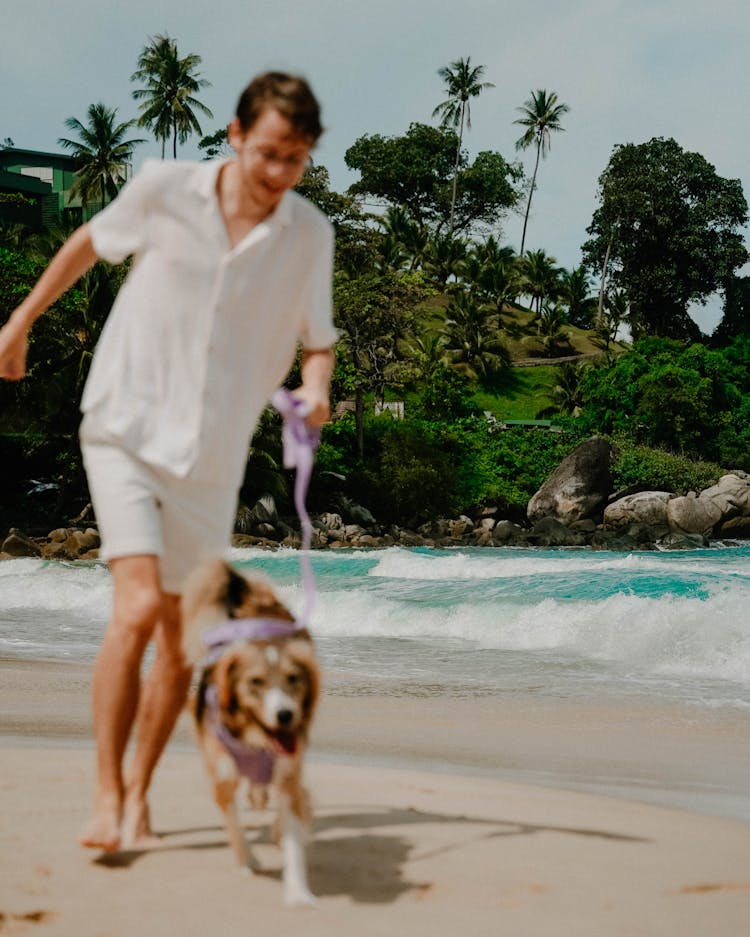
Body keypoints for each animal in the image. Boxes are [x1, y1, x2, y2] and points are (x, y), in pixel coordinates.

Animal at [184, 560, 324, 904]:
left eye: (293, 678)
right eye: (255, 682)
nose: (286, 715)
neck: (257, 740)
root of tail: (260, 603)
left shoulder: (289, 773)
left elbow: (292, 831)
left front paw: (298, 892)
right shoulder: (222, 772)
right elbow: (232, 821)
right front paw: (247, 860)